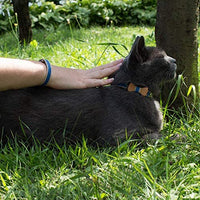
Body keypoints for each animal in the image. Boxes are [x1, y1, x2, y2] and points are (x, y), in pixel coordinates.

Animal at [0, 36, 176, 145]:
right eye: (162, 57)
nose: (174, 60)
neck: (134, 90)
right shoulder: (116, 137)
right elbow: (156, 136)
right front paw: (178, 136)